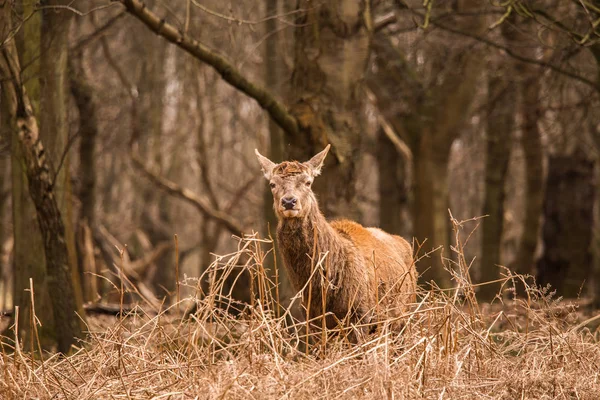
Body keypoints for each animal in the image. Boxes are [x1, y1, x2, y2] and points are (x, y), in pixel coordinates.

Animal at [254, 145, 418, 334]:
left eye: (308, 182)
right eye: (272, 184)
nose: (289, 201)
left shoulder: (361, 313)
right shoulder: (313, 320)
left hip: (404, 314)